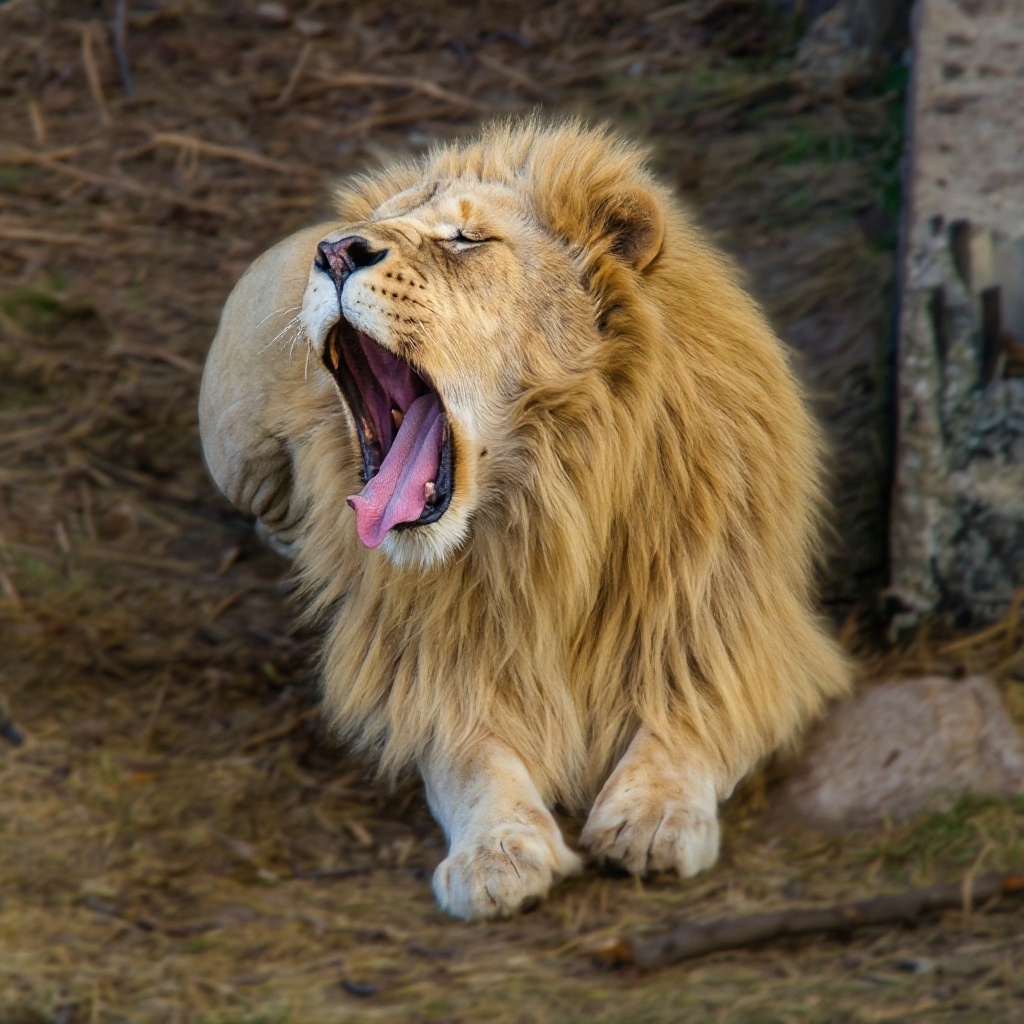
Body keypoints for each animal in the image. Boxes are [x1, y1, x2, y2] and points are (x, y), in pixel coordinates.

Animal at [199, 117, 850, 920]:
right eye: (375, 228)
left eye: (468, 240)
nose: (337, 250)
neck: (550, 500)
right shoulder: (431, 665)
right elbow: (473, 762)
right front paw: (498, 855)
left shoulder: (733, 625)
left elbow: (694, 718)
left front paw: (656, 817)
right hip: (239, 447)